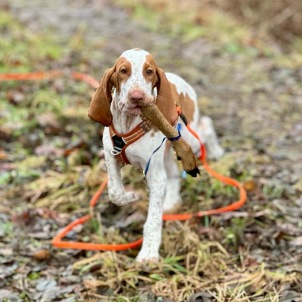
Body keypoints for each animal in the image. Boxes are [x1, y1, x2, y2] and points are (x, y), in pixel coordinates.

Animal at [88, 49, 223, 262]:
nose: (137, 96)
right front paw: (131, 196)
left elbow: (152, 220)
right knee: (174, 172)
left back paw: (216, 150)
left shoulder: (154, 174)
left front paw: (149, 253)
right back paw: (172, 201)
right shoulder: (111, 157)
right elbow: (115, 192)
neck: (129, 123)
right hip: (167, 152)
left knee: (205, 126)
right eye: (123, 71)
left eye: (149, 72)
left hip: (187, 138)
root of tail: (179, 80)